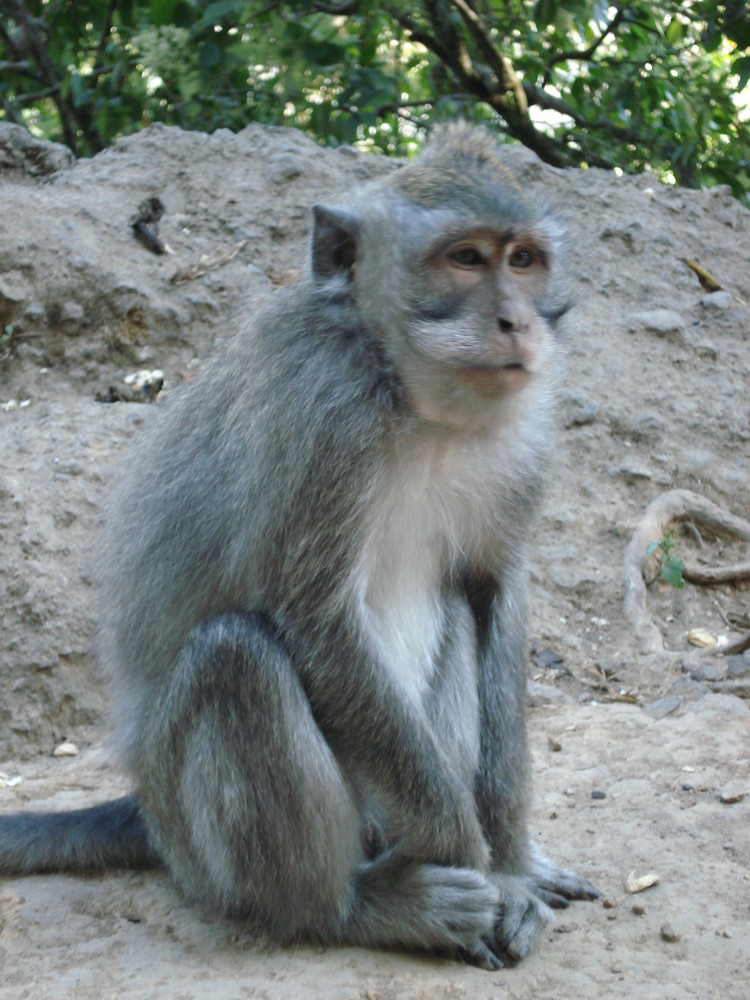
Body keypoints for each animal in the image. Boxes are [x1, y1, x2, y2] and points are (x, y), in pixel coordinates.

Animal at [0, 125, 600, 968]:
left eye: (522, 260)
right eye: (465, 258)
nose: (518, 321)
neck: (417, 404)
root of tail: (146, 810)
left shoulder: (525, 436)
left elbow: (493, 594)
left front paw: (513, 864)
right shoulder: (325, 415)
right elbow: (317, 620)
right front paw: (475, 861)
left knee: (449, 610)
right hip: (198, 842)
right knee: (236, 657)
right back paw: (354, 908)